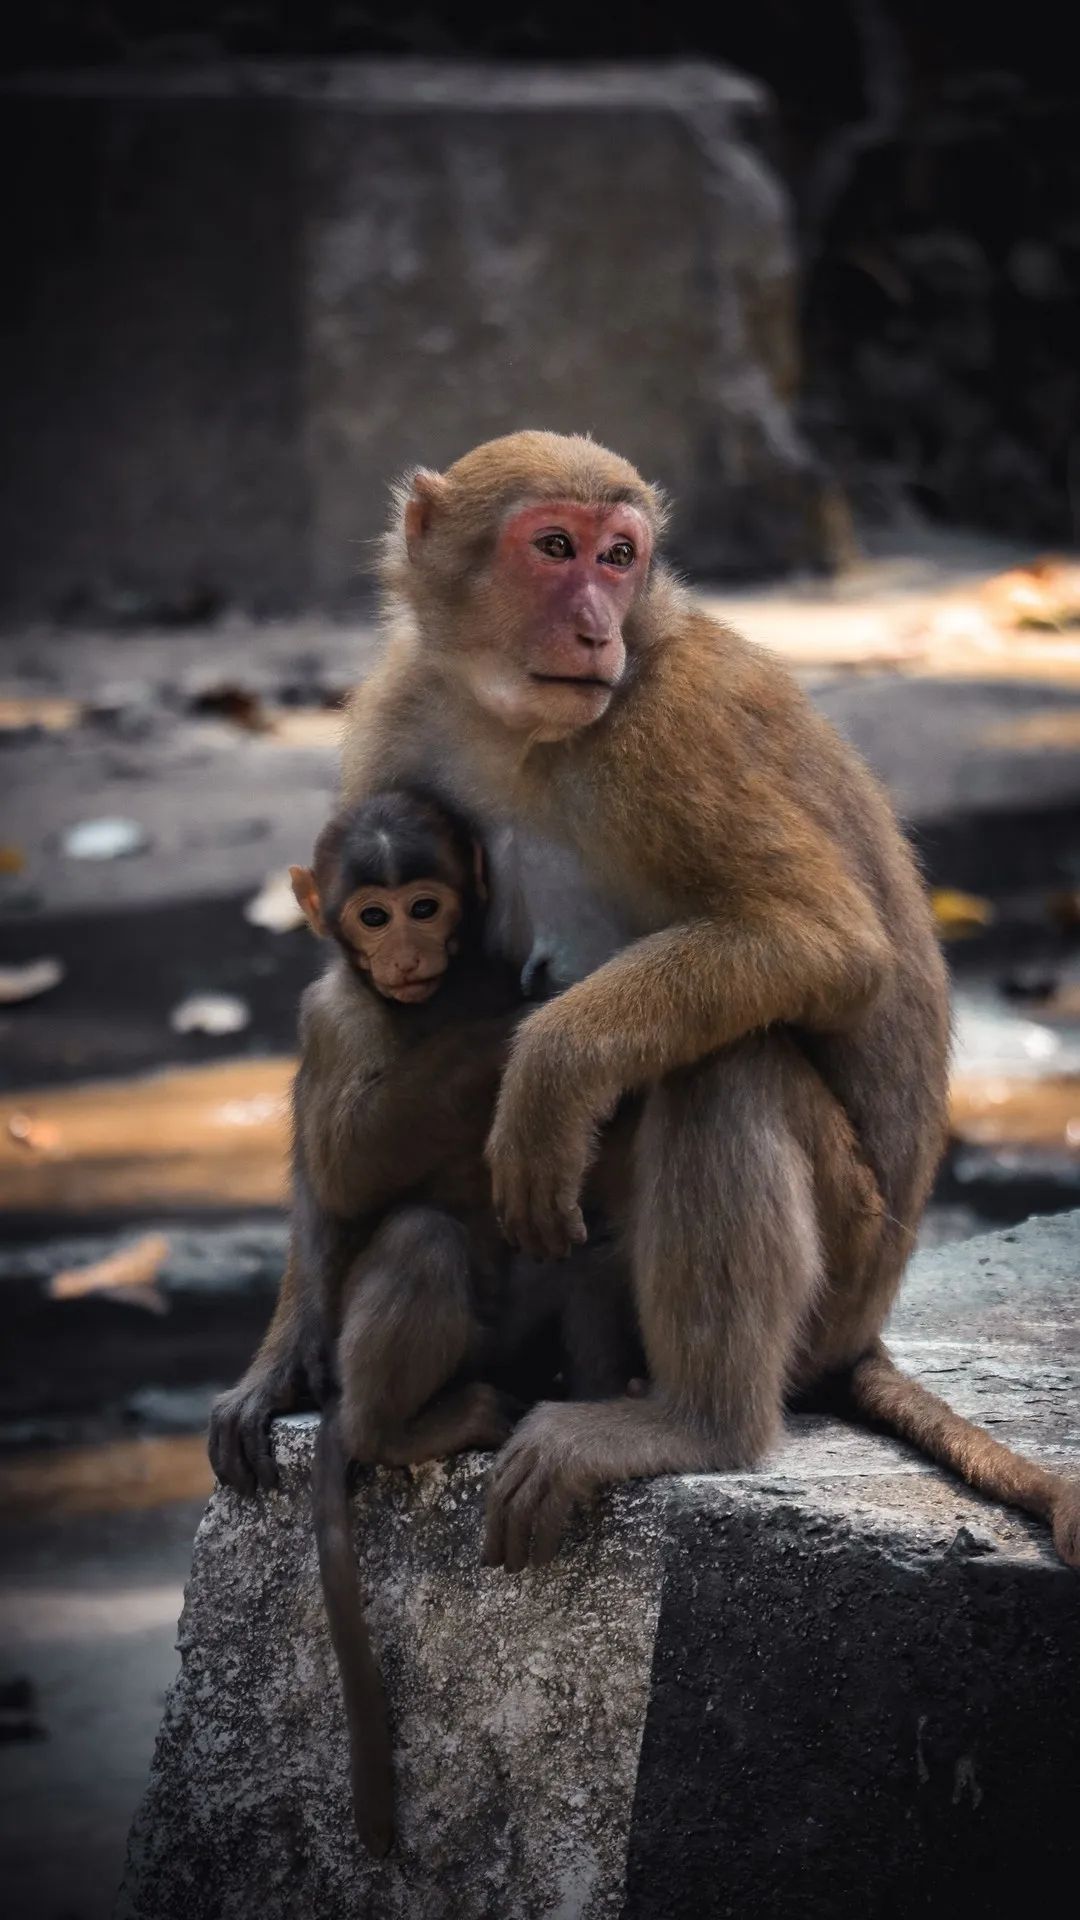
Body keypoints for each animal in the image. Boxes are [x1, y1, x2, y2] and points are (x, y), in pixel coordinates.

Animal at [213, 429, 1080, 1576]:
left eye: (619, 557)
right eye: (553, 546)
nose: (595, 627)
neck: (522, 734)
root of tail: (865, 1331)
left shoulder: (669, 737)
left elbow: (823, 941)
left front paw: (549, 1065)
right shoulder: (401, 713)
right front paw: (282, 1360)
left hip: (844, 1261)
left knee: (725, 1065)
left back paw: (697, 1423)